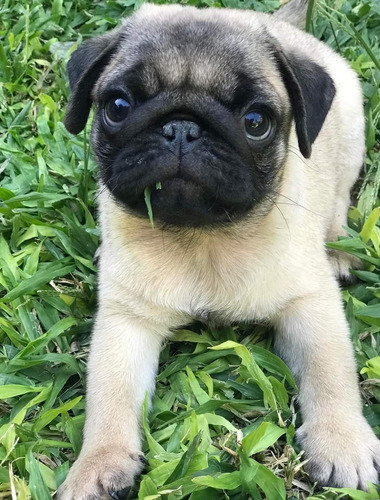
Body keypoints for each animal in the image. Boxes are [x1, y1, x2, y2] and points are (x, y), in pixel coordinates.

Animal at [58, 0, 380, 496]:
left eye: (255, 122)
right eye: (117, 107)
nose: (181, 128)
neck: (203, 239)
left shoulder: (309, 304)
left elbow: (330, 371)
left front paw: (341, 440)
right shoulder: (126, 324)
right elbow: (108, 395)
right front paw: (96, 464)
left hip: (349, 142)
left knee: (341, 198)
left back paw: (339, 250)